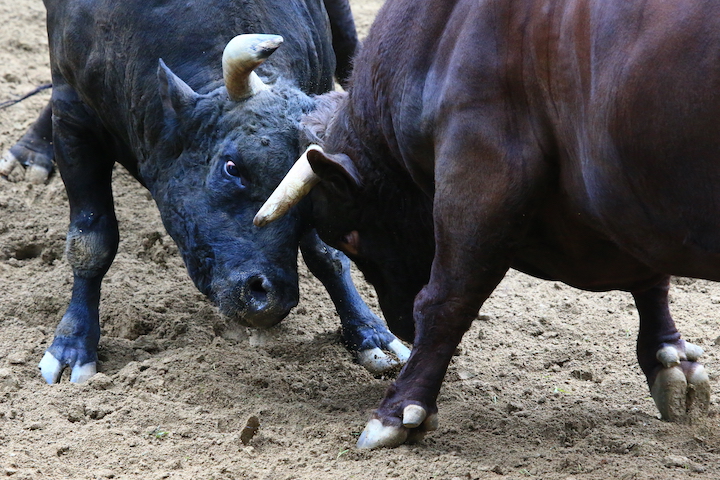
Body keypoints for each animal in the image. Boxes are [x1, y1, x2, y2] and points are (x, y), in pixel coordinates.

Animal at [7, 0, 410, 384]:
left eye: (309, 198)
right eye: (232, 167)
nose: (270, 298)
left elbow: (326, 254)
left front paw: (371, 334)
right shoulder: (74, 119)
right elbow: (91, 241)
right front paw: (73, 345)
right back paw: (29, 150)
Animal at [258, 0, 720, 448]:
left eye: (350, 238)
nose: (402, 327)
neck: (444, 34)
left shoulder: (481, 166)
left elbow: (448, 296)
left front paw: (400, 409)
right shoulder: (630, 205)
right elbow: (652, 282)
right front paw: (668, 358)